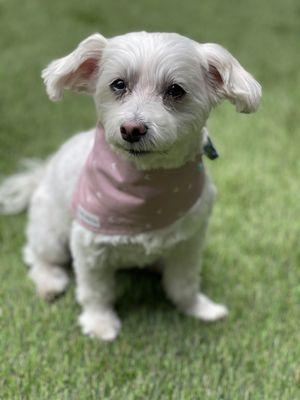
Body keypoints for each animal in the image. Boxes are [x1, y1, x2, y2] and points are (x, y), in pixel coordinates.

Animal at [0, 32, 260, 342]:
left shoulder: (188, 243)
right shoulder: (89, 247)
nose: (132, 129)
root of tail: (41, 174)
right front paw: (99, 324)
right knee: (36, 256)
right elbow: (96, 292)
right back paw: (50, 282)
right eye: (118, 84)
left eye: (175, 90)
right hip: (51, 234)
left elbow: (184, 284)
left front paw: (198, 308)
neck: (145, 186)